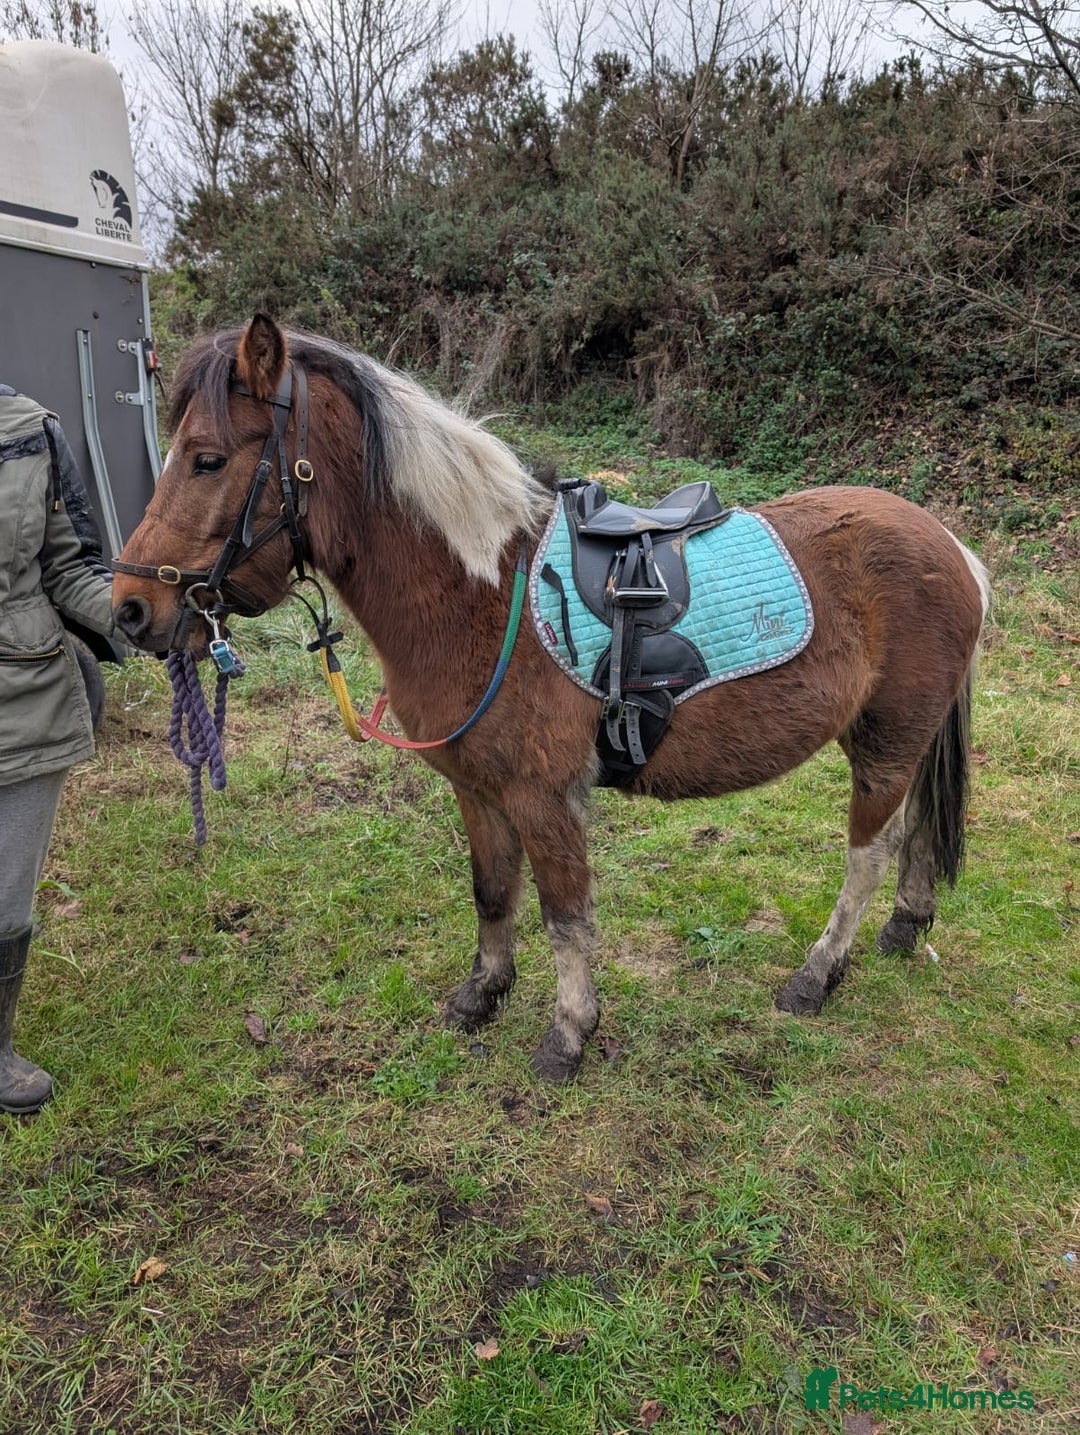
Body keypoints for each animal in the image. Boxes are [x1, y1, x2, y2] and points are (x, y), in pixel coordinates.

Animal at [111, 314, 991, 1083]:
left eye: (206, 460)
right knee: (916, 826)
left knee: (869, 851)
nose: (129, 609)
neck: (481, 594)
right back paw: (906, 926)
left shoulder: (544, 798)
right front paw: (481, 994)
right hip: (894, 737)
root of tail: (953, 547)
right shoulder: (477, 790)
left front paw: (569, 1035)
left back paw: (818, 973)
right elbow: (491, 890)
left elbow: (567, 918)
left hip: (885, 741)